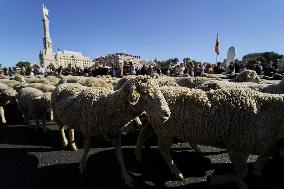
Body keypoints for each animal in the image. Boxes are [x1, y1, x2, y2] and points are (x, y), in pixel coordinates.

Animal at [134, 86, 284, 189]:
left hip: (156, 124)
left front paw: (247, 178)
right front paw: (215, 180)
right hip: (164, 129)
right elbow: (242, 172)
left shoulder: (249, 145)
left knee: (144, 133)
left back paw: (139, 154)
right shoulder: (237, 145)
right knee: (163, 149)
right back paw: (177, 172)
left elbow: (249, 166)